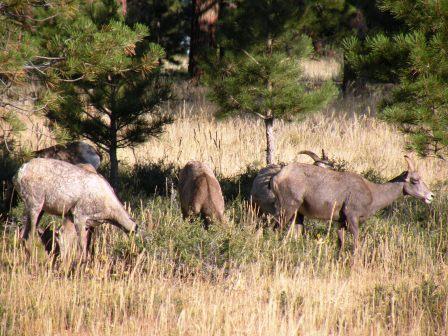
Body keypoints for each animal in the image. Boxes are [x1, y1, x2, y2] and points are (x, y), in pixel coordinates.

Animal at [272, 156, 432, 253]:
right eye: (415, 180)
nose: (430, 196)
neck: (373, 194)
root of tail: (277, 177)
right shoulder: (352, 218)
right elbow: (356, 244)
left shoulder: (341, 222)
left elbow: (341, 243)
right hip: (287, 209)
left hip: (298, 214)